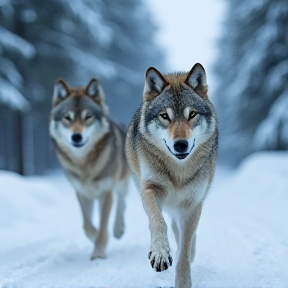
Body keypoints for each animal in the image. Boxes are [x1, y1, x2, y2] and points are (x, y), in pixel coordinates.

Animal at [49, 77, 129, 260]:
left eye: (88, 117)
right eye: (67, 117)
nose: (76, 137)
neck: (84, 164)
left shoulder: (106, 193)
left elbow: (103, 225)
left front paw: (98, 252)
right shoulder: (82, 193)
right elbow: (87, 226)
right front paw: (95, 238)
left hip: (121, 181)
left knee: (122, 200)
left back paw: (118, 229)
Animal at [125, 63, 217, 288]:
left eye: (192, 114)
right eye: (165, 116)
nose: (181, 145)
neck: (179, 171)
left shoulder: (193, 205)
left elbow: (184, 250)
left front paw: (183, 281)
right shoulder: (150, 189)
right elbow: (158, 222)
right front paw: (160, 253)